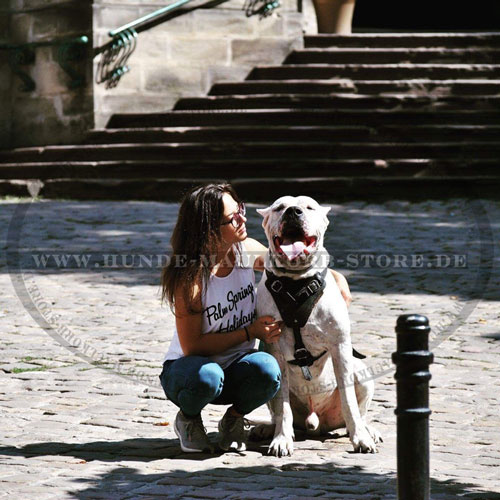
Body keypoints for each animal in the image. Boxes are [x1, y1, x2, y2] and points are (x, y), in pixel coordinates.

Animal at [252, 195, 380, 458]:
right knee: (278, 411)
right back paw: (267, 429)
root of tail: (315, 421)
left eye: (309, 207)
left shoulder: (340, 346)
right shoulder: (274, 348)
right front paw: (281, 439)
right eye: (279, 207)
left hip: (361, 372)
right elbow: (282, 406)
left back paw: (366, 429)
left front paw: (360, 438)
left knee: (359, 411)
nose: (293, 211)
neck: (296, 283)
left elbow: (349, 400)